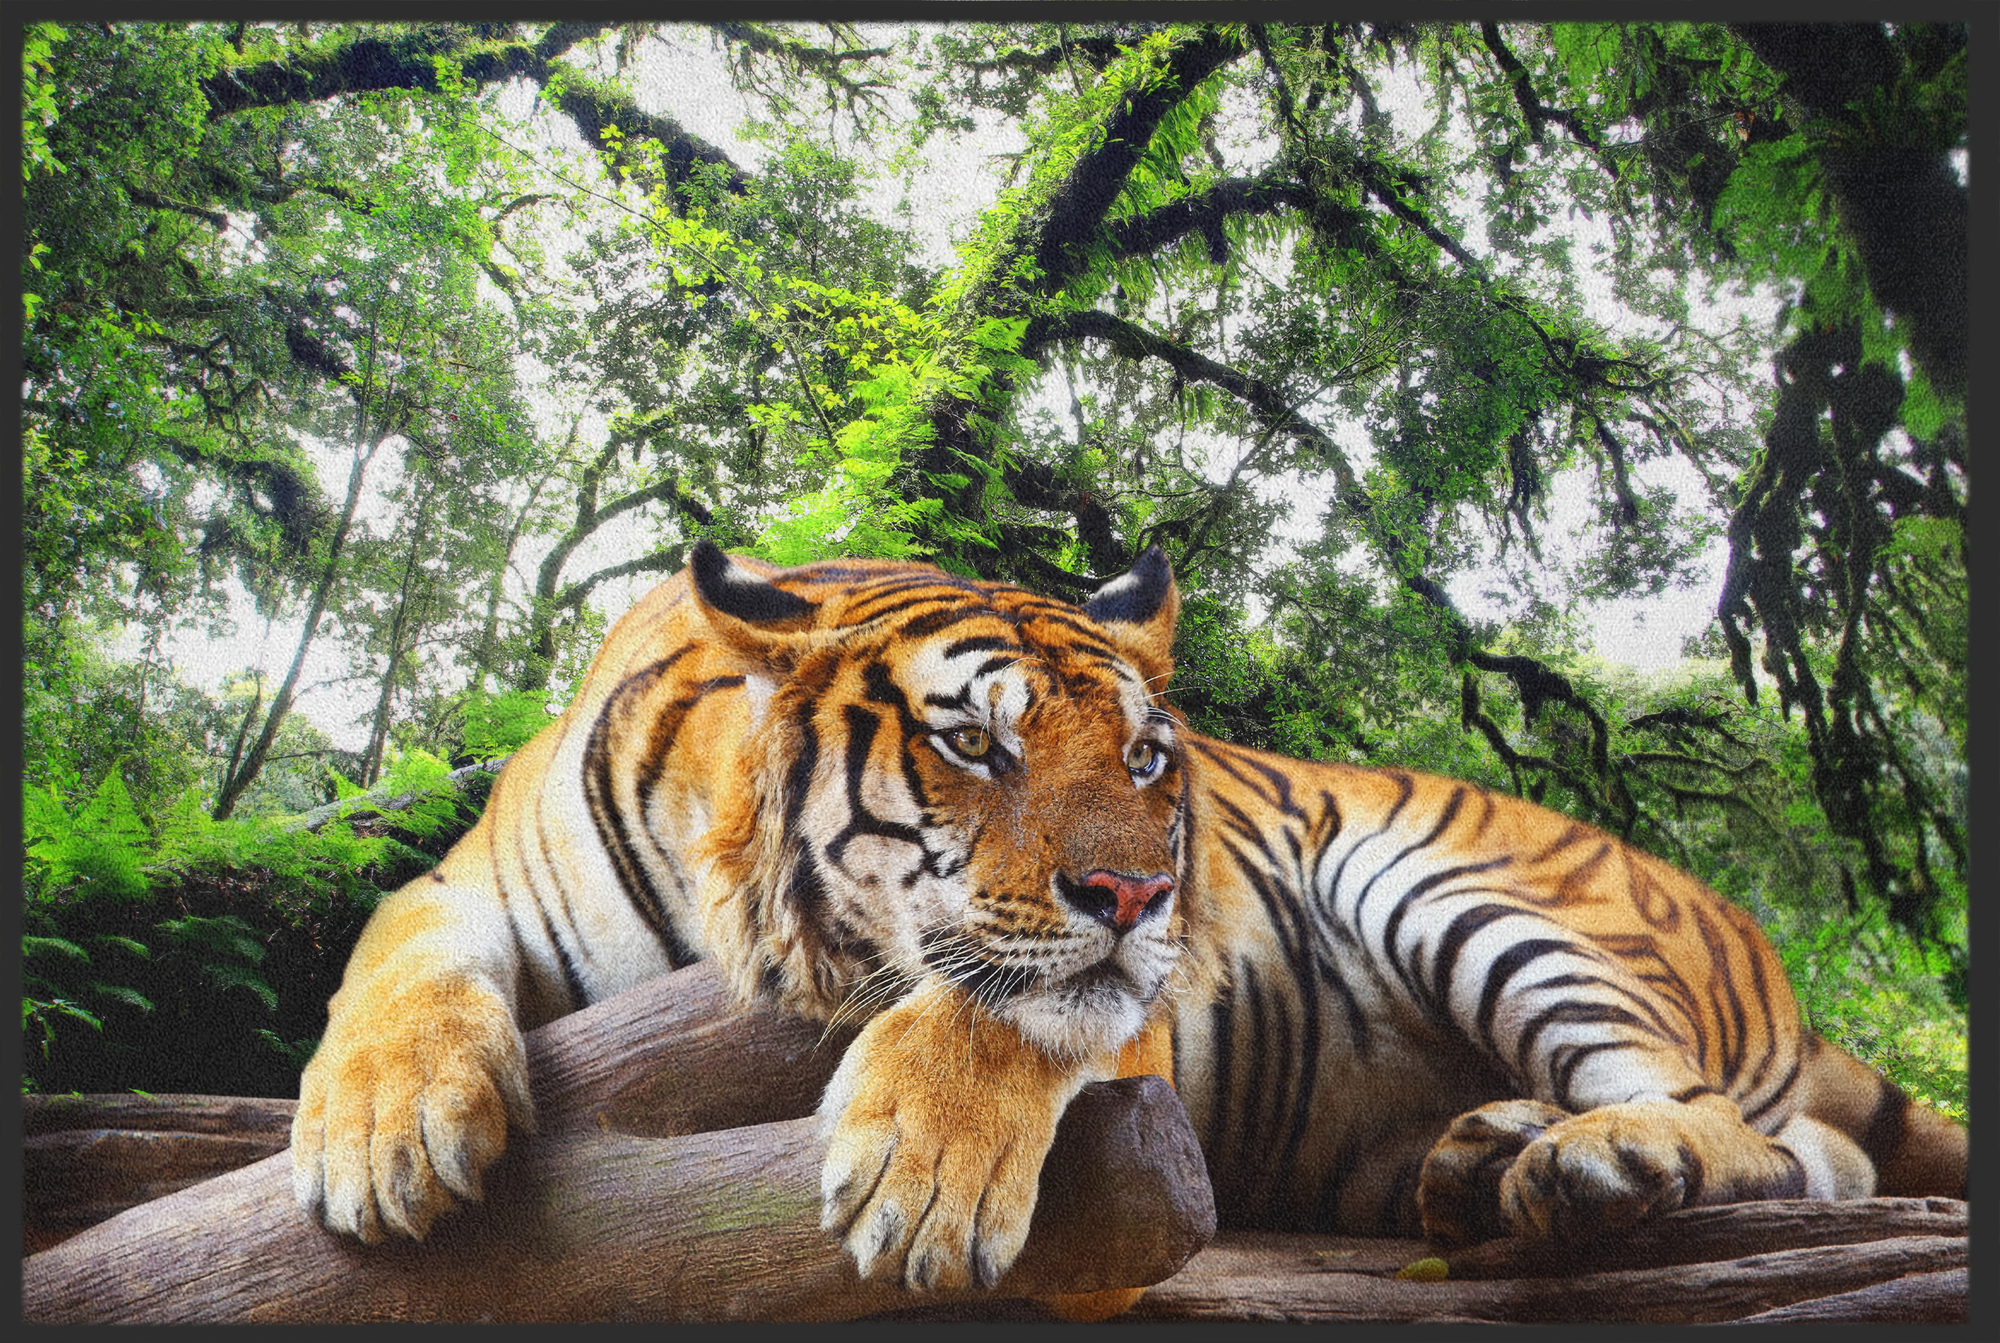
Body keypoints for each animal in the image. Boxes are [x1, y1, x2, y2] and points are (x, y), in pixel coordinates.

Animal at [291, 541, 1966, 1317]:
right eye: (976, 742)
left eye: (1152, 756)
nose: (1147, 891)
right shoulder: (467, 883)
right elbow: (388, 955)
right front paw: (382, 1136)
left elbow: (1008, 1001)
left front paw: (920, 1177)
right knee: (1821, 1151)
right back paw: (1487, 1153)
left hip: (1470, 889)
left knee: (1741, 1128)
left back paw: (1590, 1158)